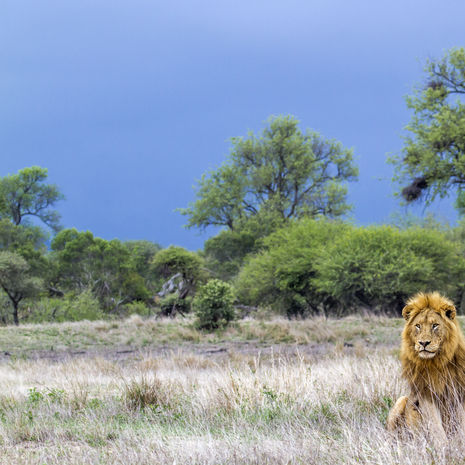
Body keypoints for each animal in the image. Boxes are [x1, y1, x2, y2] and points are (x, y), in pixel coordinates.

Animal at [386, 292, 464, 436]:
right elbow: (436, 428)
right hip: (401, 401)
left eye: (435, 325)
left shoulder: (460, 394)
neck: (436, 363)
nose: (423, 343)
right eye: (418, 326)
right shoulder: (426, 394)